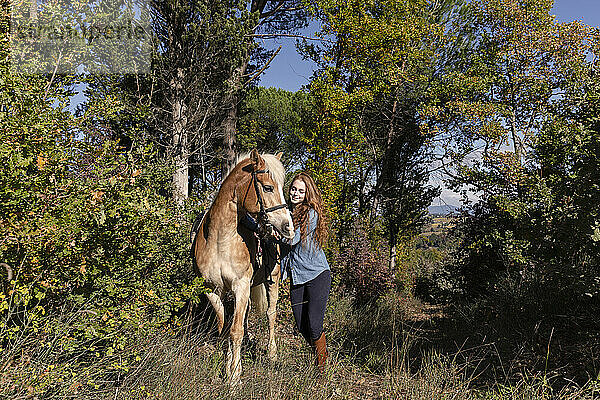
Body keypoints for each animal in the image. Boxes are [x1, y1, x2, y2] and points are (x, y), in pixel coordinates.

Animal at [191, 150, 294, 384]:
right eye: (268, 187)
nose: (288, 227)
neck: (219, 239)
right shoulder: (212, 289)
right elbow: (224, 326)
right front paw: (226, 362)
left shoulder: (241, 286)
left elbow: (235, 330)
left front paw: (234, 375)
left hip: (272, 281)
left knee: (271, 314)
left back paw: (272, 353)